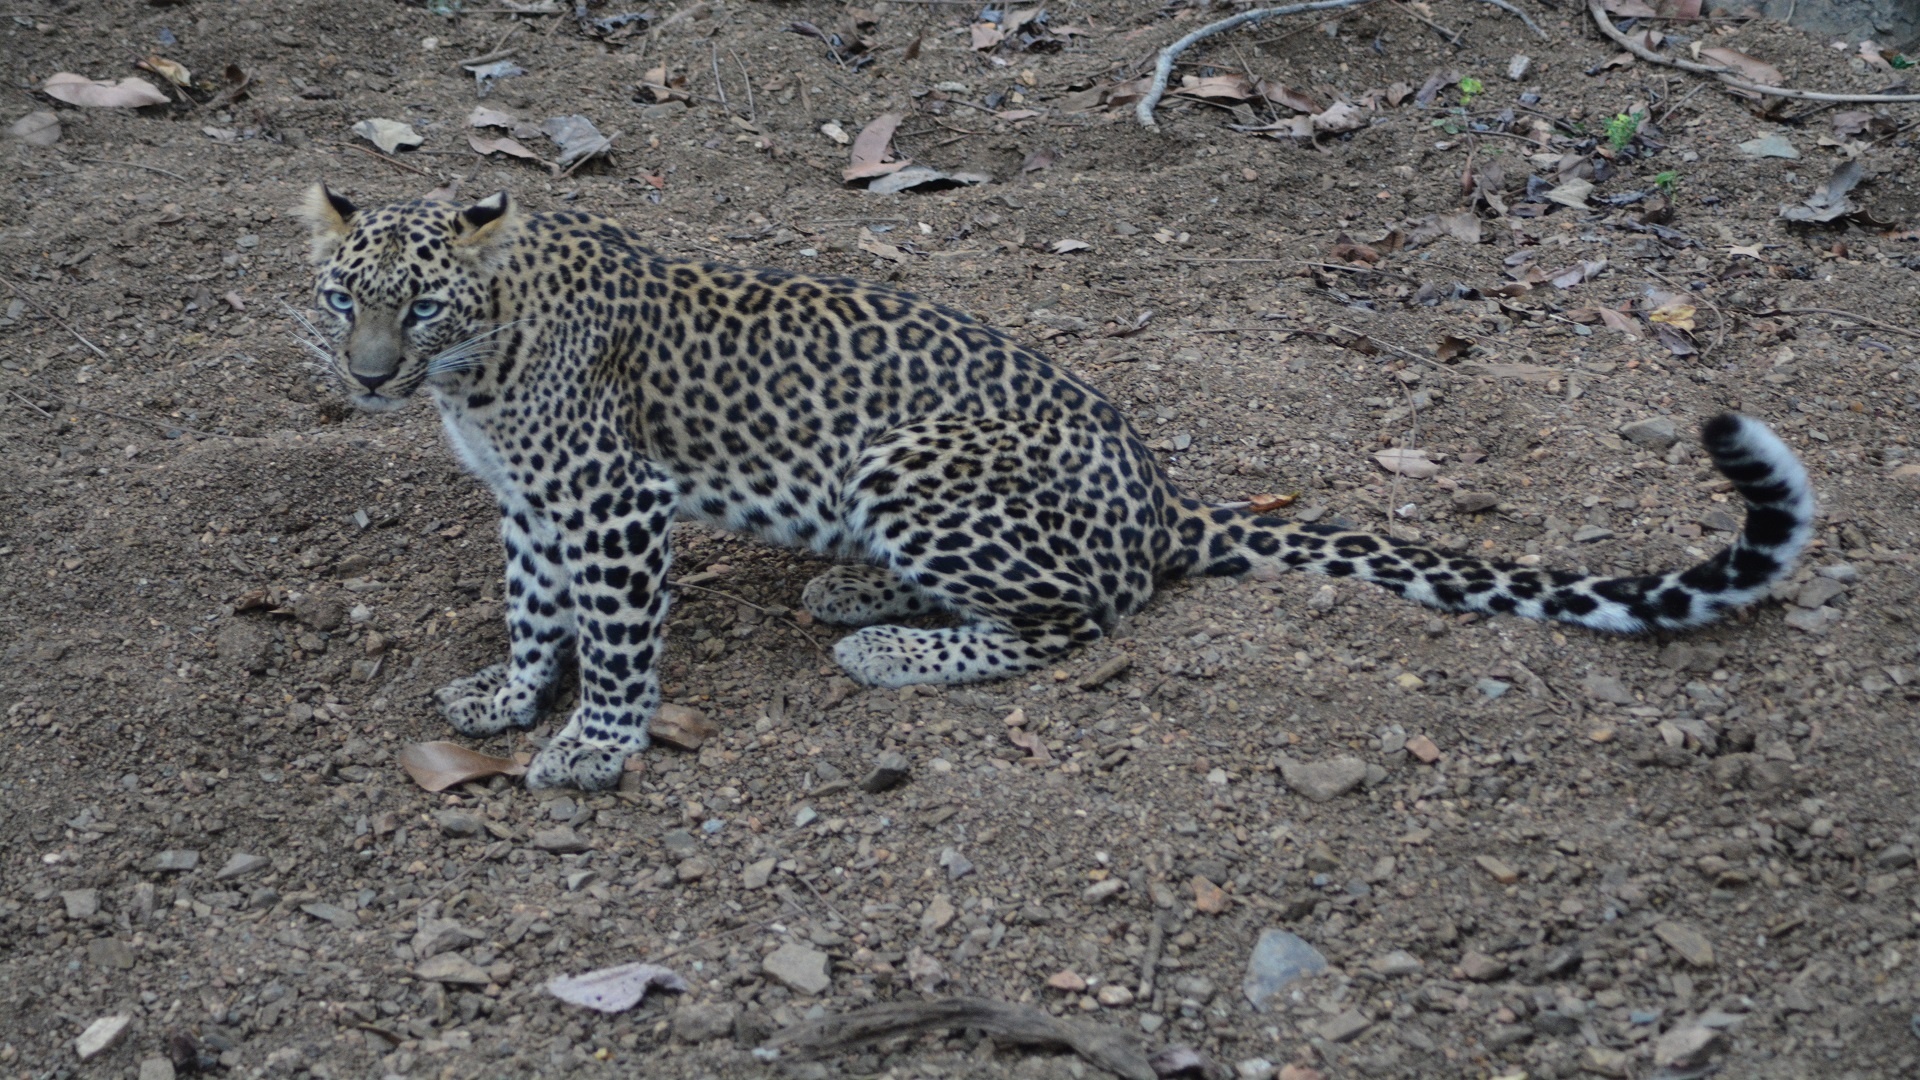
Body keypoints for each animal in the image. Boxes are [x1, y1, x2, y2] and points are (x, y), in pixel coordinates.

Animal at [295, 187, 1812, 791]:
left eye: (419, 304)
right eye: (339, 296)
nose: (369, 379)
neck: (480, 367)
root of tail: (1160, 490)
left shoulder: (609, 501)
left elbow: (611, 638)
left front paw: (593, 745)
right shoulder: (529, 501)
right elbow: (530, 605)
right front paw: (508, 693)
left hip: (915, 461)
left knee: (1081, 611)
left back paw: (890, 644)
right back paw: (853, 590)